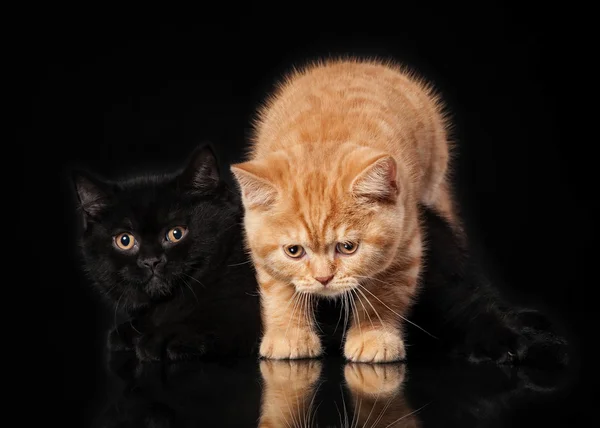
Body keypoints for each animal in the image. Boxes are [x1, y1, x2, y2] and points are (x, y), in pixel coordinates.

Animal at [72, 144, 260, 362]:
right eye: (125, 240)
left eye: (176, 233)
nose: (151, 261)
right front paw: (131, 331)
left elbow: (220, 320)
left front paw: (163, 337)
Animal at [232, 57, 458, 362]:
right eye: (294, 251)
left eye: (348, 247)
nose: (323, 278)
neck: (325, 138)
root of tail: (356, 62)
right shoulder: (261, 251)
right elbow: (278, 292)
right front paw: (289, 335)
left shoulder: (405, 244)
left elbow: (384, 295)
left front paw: (373, 335)